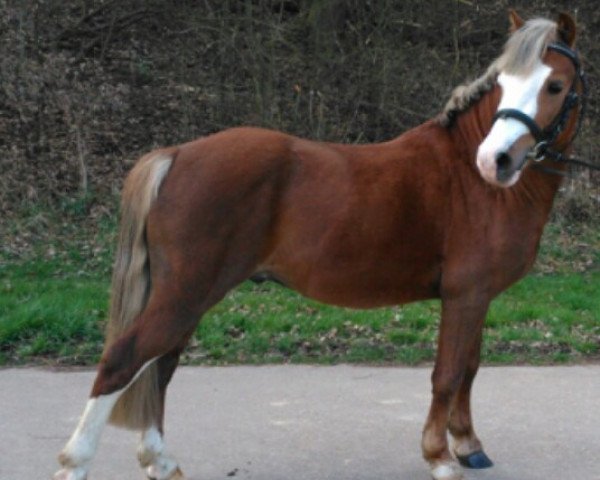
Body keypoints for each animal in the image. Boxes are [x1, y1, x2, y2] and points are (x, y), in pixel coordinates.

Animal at [52, 10, 584, 480]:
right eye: (503, 86)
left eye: (554, 86)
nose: (496, 160)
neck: (469, 178)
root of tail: (177, 154)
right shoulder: (465, 295)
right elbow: (447, 375)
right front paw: (439, 457)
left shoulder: (477, 296)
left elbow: (469, 370)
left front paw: (469, 446)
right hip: (185, 294)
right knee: (124, 361)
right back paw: (76, 462)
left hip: (186, 296)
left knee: (160, 365)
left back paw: (160, 462)